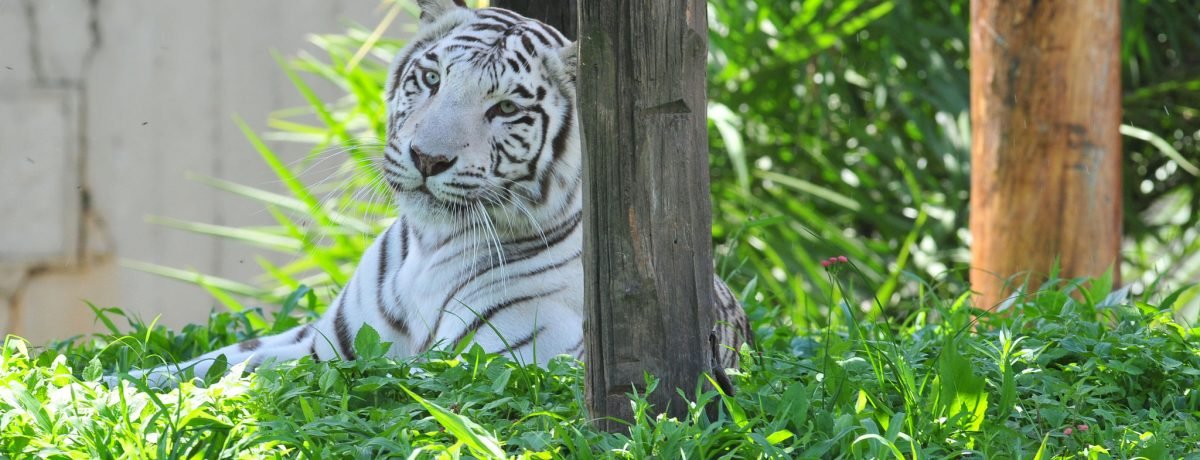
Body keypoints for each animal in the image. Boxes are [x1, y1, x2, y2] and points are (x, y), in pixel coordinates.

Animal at [114, 0, 748, 391]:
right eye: (433, 79)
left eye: (506, 108)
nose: (428, 159)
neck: (429, 246)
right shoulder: (327, 342)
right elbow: (221, 358)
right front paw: (113, 383)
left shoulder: (483, 364)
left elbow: (264, 377)